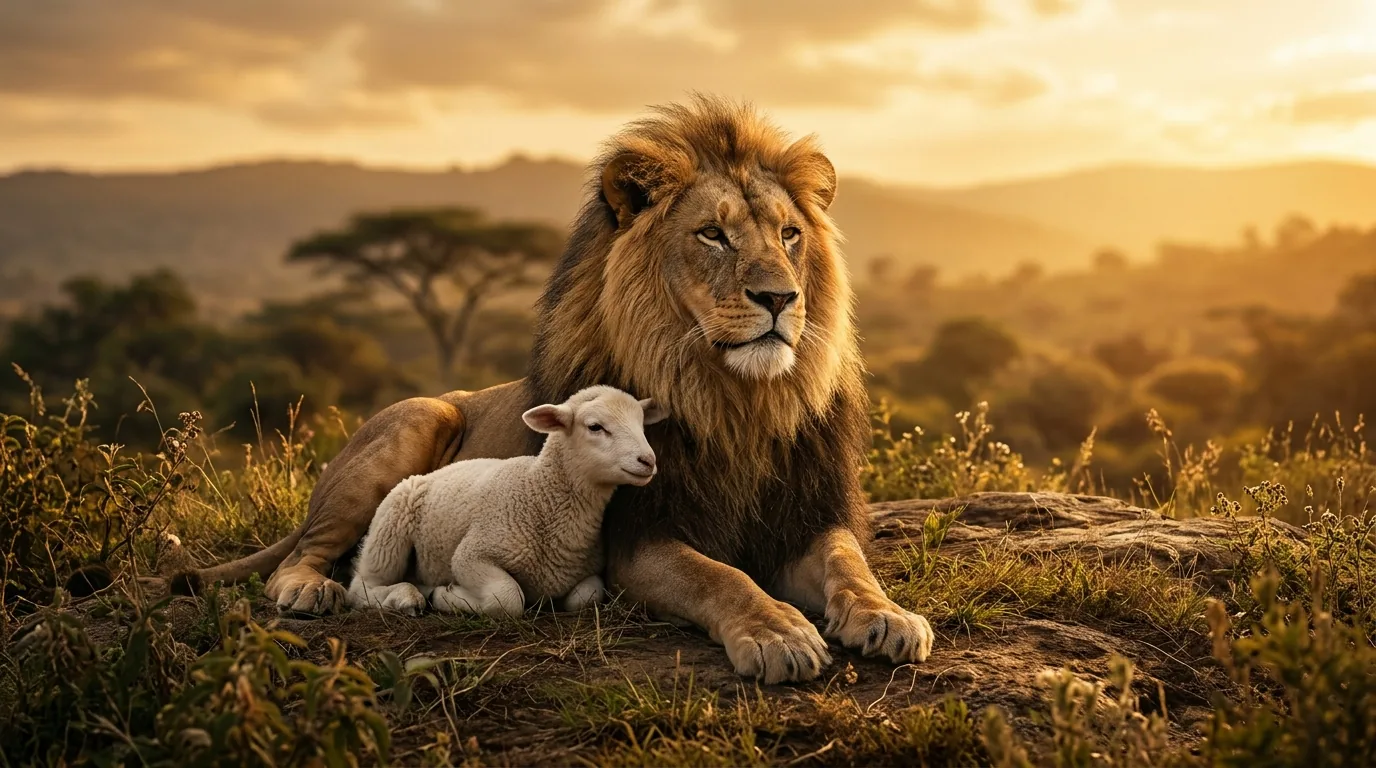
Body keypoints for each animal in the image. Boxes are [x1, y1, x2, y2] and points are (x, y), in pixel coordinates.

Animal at [346, 385, 666, 618]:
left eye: (641, 424)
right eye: (595, 427)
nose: (648, 461)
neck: (539, 495)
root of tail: (425, 475)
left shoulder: (590, 572)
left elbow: (586, 597)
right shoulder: (472, 554)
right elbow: (507, 598)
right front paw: (448, 595)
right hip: (389, 533)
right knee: (361, 587)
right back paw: (406, 597)